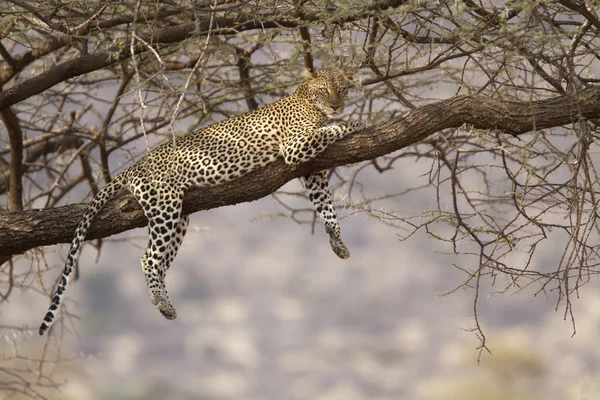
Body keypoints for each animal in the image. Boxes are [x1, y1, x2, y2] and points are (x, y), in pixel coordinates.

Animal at [38, 68, 366, 334]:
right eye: (324, 90)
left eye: (342, 89)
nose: (337, 105)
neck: (307, 100)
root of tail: (136, 165)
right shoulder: (295, 148)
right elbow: (334, 130)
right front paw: (359, 122)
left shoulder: (312, 171)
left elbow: (326, 206)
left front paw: (337, 241)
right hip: (165, 207)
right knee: (148, 258)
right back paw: (159, 300)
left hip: (180, 217)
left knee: (161, 263)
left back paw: (166, 306)